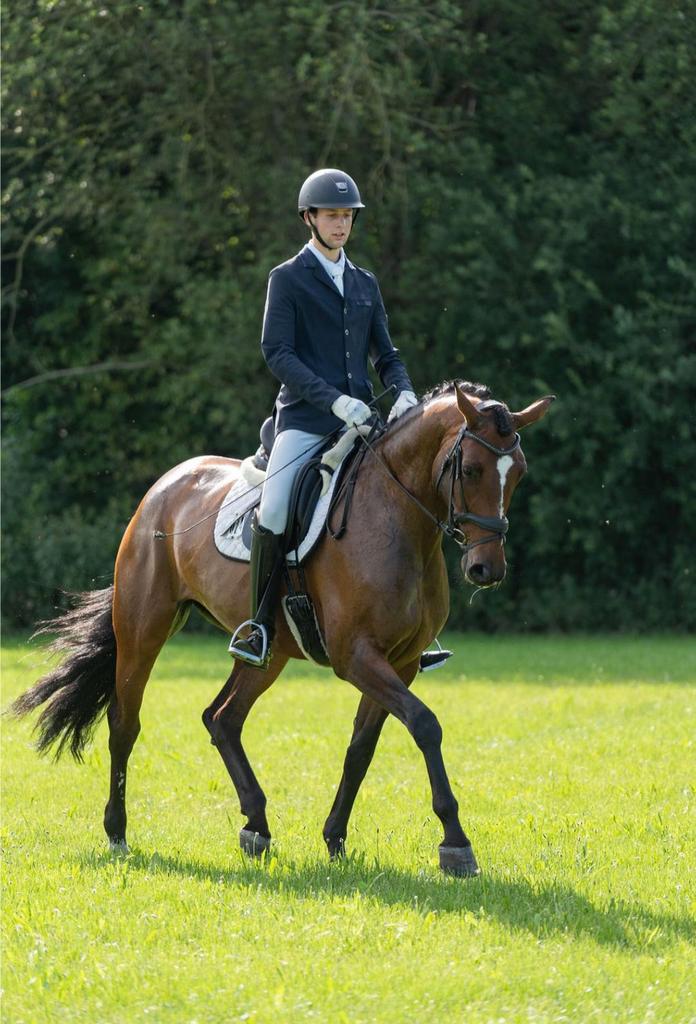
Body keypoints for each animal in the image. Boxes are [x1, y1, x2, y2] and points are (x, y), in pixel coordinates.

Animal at [11, 380, 554, 876]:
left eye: (519, 474)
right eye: (471, 469)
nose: (487, 569)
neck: (397, 519)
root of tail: (166, 484)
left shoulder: (399, 663)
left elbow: (362, 748)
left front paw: (335, 838)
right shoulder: (356, 657)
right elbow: (425, 725)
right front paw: (456, 844)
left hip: (266, 653)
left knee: (222, 718)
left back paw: (256, 826)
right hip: (144, 631)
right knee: (125, 723)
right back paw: (118, 833)